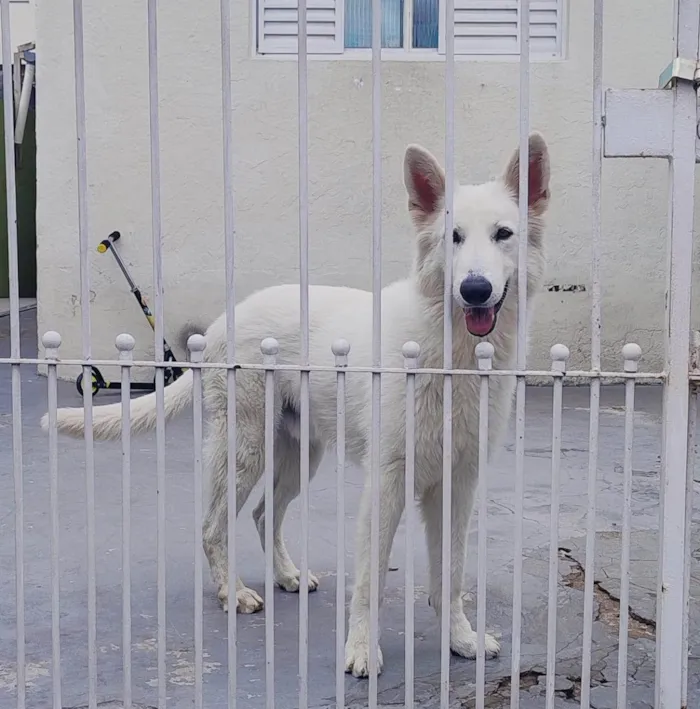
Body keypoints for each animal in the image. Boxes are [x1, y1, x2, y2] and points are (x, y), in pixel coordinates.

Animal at [46, 131, 552, 676]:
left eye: (503, 234)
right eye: (452, 237)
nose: (474, 290)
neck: (451, 357)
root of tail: (225, 321)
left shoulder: (458, 483)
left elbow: (452, 574)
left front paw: (459, 638)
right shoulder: (386, 484)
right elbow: (370, 582)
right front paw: (360, 650)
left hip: (300, 457)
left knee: (264, 514)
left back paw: (286, 575)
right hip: (245, 452)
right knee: (213, 526)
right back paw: (233, 593)